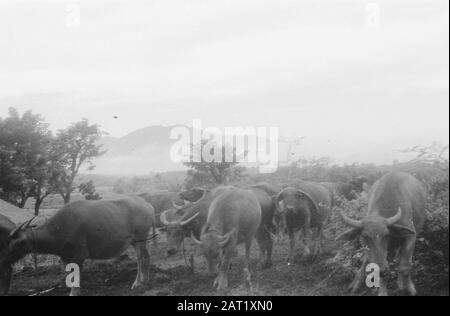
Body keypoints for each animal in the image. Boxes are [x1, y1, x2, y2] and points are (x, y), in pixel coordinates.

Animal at [0, 198, 155, 296]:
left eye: (16, 244)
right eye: (6, 242)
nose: (3, 260)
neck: (59, 230)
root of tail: (148, 205)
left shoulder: (79, 256)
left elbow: (76, 277)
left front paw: (74, 293)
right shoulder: (66, 258)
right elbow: (70, 275)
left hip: (140, 238)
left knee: (142, 258)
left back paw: (138, 283)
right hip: (135, 241)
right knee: (145, 257)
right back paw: (145, 281)